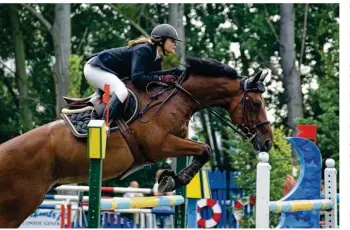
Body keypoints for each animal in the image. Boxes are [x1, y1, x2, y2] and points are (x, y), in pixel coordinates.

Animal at [0, 56, 272, 227]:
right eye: (255, 104)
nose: (267, 143)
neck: (178, 98)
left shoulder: (176, 141)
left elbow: (200, 151)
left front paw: (169, 177)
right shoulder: (159, 145)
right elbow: (205, 149)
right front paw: (171, 180)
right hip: (19, 205)